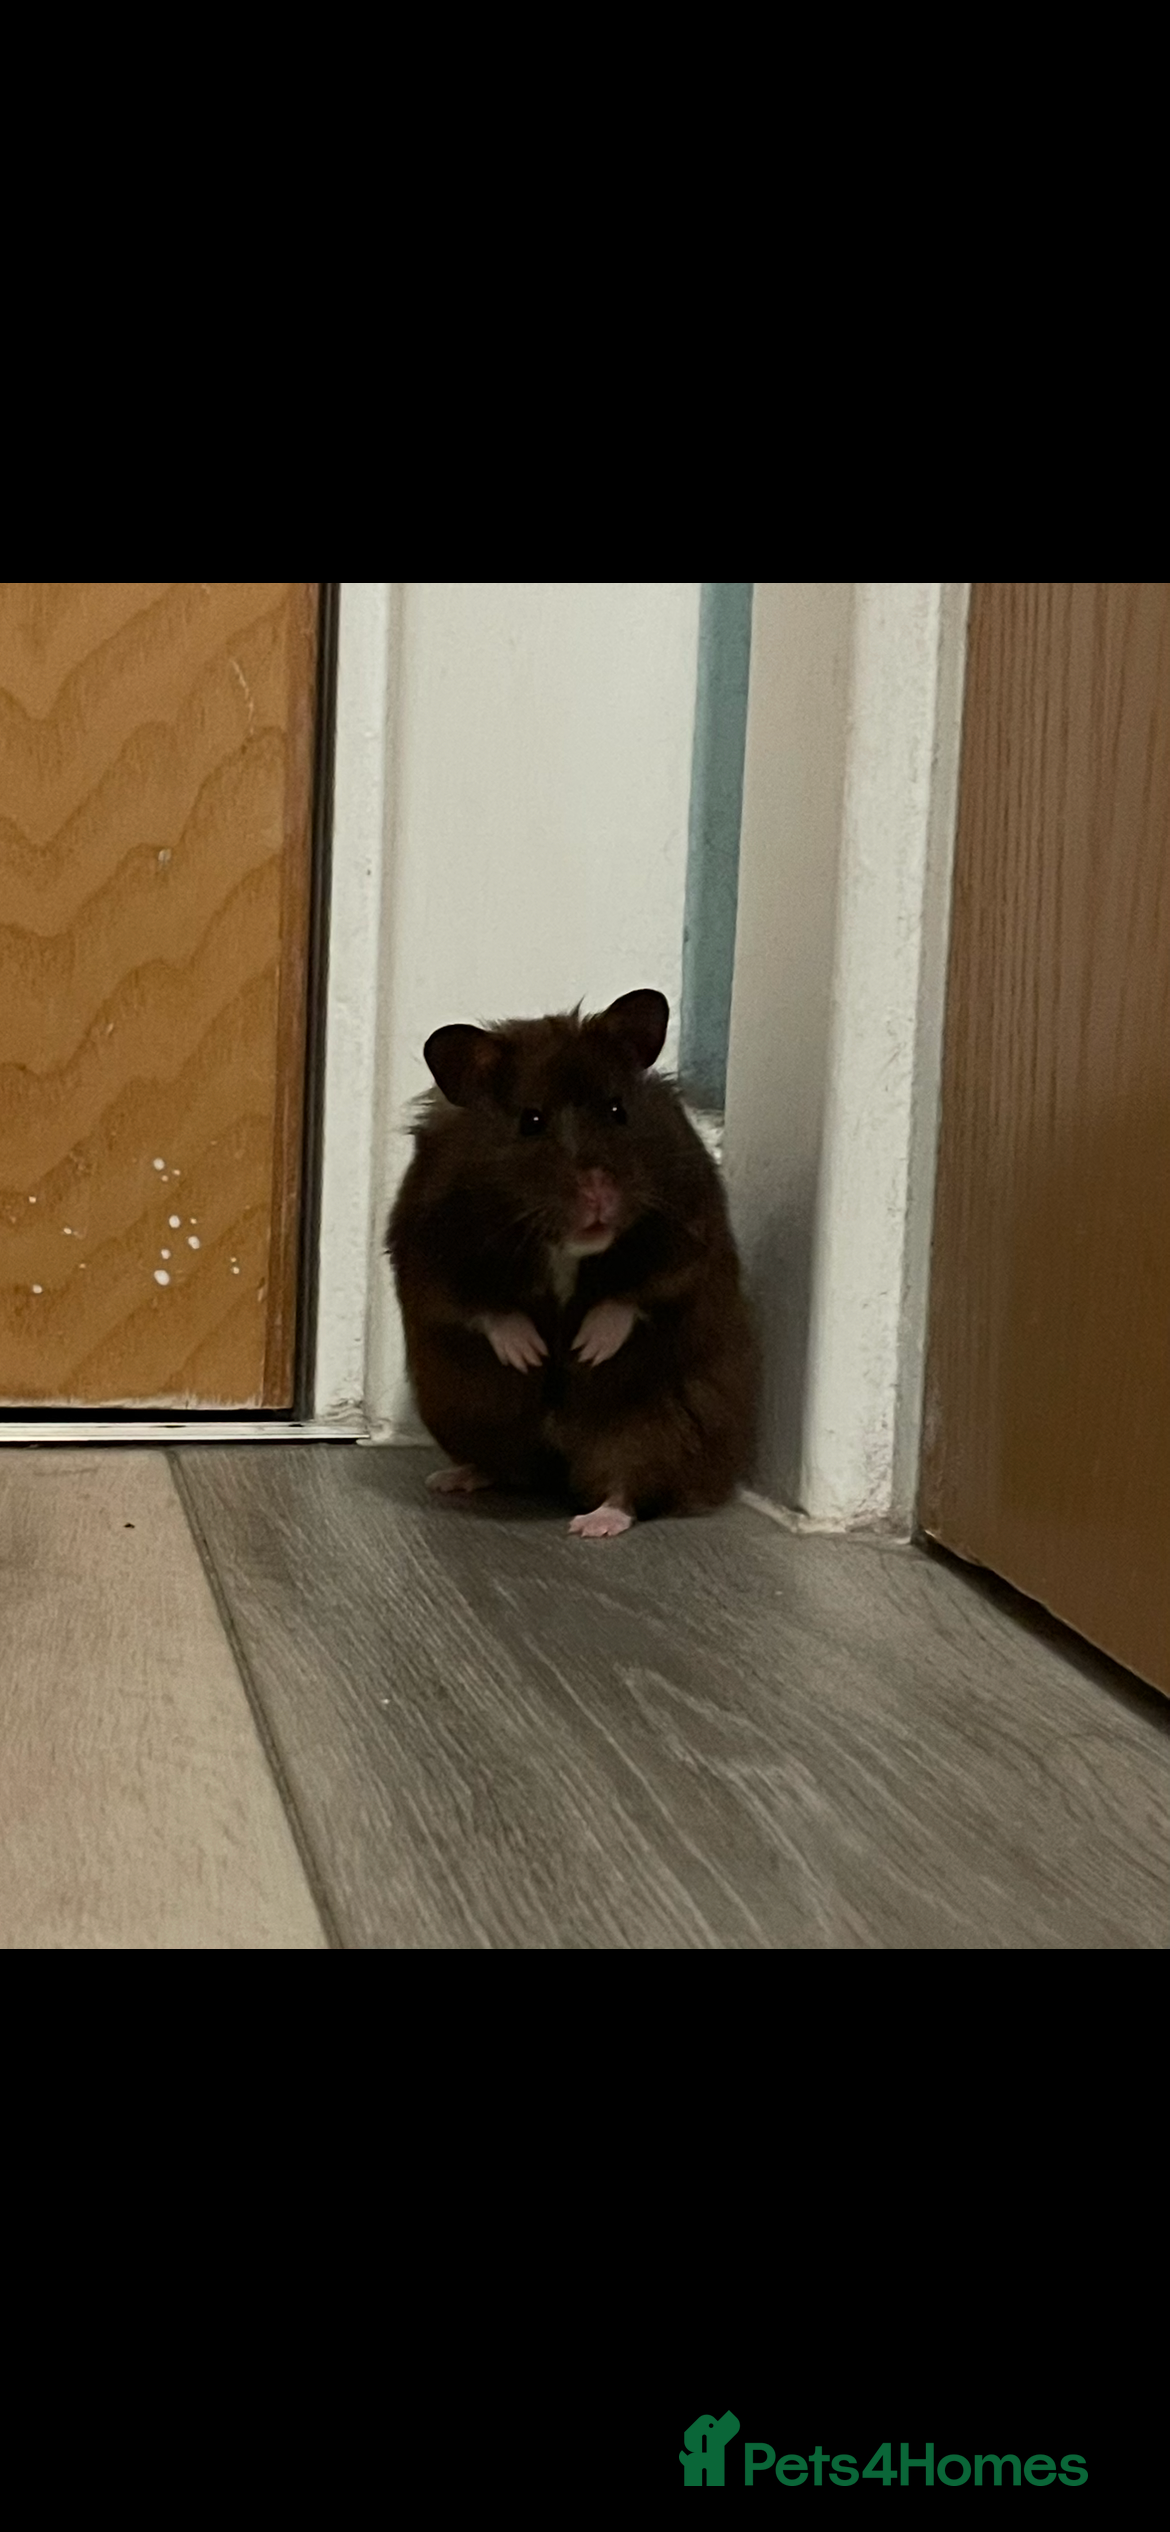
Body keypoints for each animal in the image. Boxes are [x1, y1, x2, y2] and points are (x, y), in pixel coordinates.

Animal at [387, 989, 756, 1540]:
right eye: (531, 1121)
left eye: (618, 1110)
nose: (599, 1195)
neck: (565, 1245)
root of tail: (559, 1460)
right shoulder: (431, 1256)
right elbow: (481, 1307)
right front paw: (533, 1354)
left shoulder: (690, 1232)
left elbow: (636, 1294)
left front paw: (586, 1348)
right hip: (467, 1415)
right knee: (506, 1467)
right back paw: (450, 1478)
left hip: (655, 1424)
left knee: (627, 1480)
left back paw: (593, 1525)